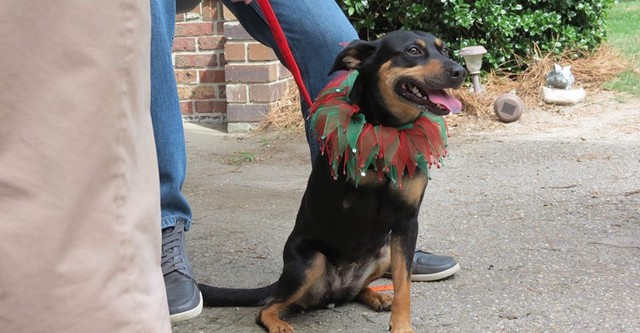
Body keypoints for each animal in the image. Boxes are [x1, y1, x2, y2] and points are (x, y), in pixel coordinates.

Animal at [200, 31, 464, 332]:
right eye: (412, 51)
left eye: (444, 50)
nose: (460, 71)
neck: (389, 129)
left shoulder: (406, 222)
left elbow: (403, 284)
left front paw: (401, 325)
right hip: (309, 263)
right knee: (267, 307)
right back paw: (278, 322)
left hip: (383, 252)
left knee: (356, 291)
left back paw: (375, 297)